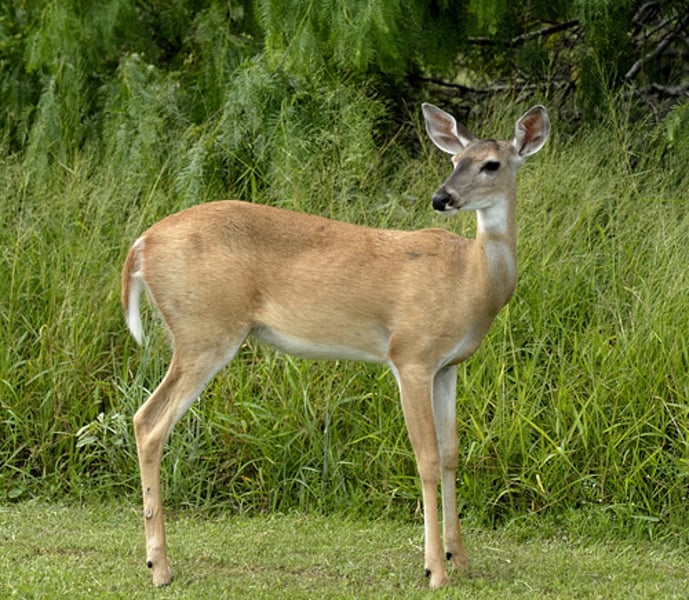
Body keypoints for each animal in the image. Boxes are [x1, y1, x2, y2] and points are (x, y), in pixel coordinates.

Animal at [122, 102, 548, 584]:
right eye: (455, 160)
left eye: (490, 164)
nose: (442, 198)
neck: (469, 280)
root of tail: (141, 245)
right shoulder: (410, 355)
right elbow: (426, 457)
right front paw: (435, 570)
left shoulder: (448, 365)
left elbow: (451, 453)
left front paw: (461, 558)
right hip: (204, 331)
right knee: (149, 420)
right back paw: (160, 567)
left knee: (145, 418)